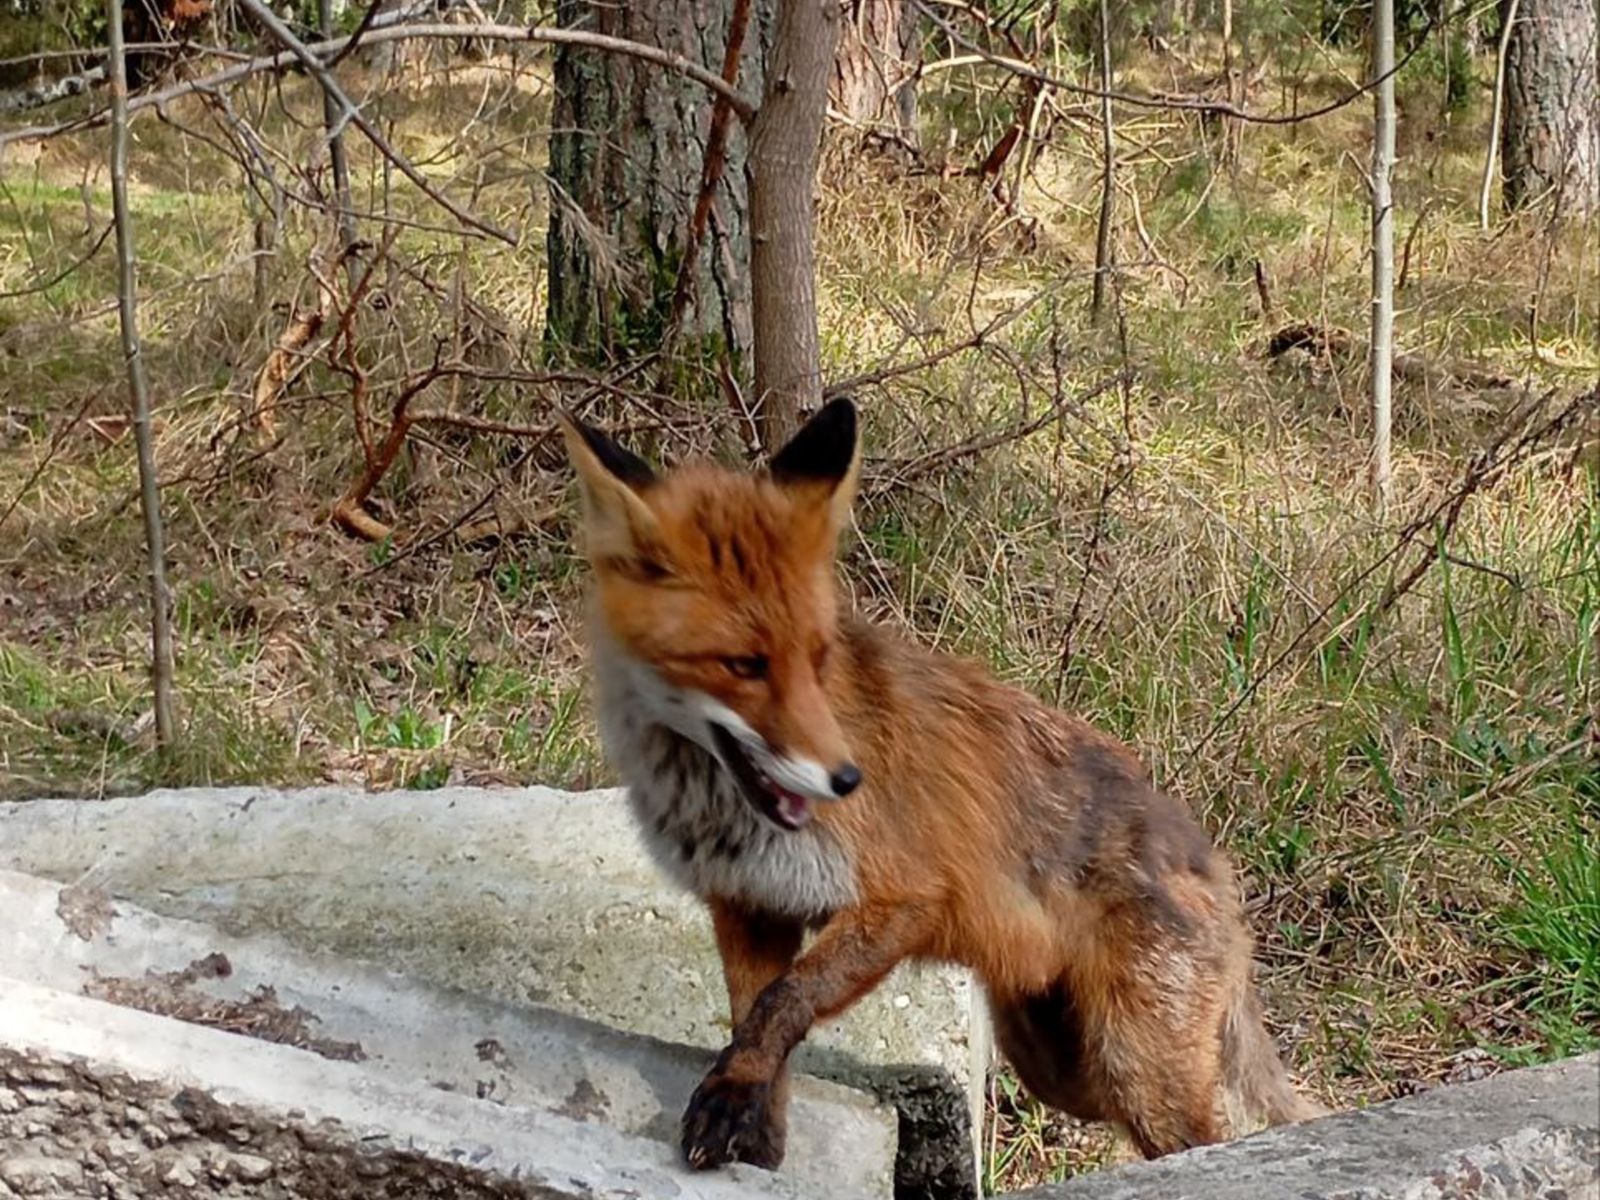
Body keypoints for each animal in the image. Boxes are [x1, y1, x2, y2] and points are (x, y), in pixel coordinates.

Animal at [558, 397, 1320, 1174]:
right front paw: (755, 1129)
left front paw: (732, 1106)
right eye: (744, 665)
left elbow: (782, 1005)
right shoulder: (751, 905)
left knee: (1210, 1137)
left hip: (1136, 1071)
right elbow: (757, 1025)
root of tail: (1211, 855)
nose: (846, 780)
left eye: (818, 655)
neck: (711, 804)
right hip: (1060, 1065)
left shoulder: (902, 897)